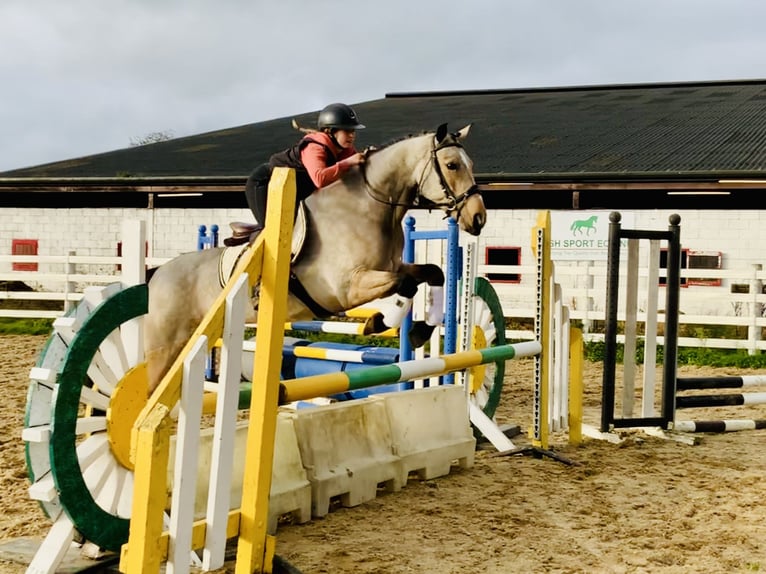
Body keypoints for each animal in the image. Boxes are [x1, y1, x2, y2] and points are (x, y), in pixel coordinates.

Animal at [146, 121, 486, 392]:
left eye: (471, 163)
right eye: (452, 165)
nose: (478, 217)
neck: (369, 207)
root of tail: (158, 275)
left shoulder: (392, 266)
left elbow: (431, 273)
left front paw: (418, 330)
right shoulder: (346, 288)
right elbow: (403, 283)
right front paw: (377, 322)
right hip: (165, 346)